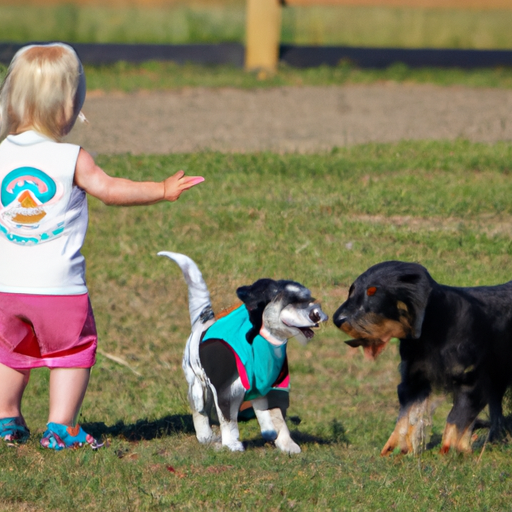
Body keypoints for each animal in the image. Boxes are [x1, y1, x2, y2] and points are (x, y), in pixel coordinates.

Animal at [159, 252, 328, 452]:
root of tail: (204, 323)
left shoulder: (274, 386)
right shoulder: (225, 391)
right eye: (289, 300)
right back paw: (207, 437)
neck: (262, 340)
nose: (318, 314)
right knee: (201, 410)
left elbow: (278, 417)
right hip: (200, 386)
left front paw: (287, 445)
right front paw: (232, 445)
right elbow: (228, 420)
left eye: (307, 298)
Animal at [332, 262, 512, 454]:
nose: (337, 319)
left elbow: (455, 420)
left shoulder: (472, 383)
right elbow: (405, 418)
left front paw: (449, 452)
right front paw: (394, 450)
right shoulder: (413, 382)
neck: (437, 328)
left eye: (372, 292)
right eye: (352, 291)